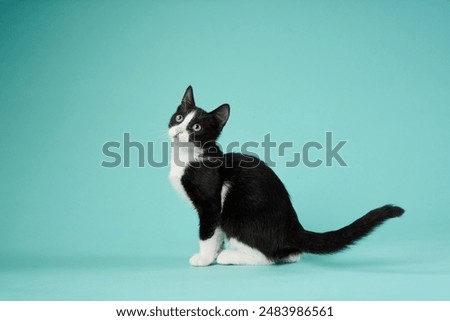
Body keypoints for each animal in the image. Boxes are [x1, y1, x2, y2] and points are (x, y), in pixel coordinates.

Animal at [168, 85, 404, 264]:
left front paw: (205, 259)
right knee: (290, 253)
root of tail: (292, 226)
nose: (177, 132)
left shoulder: (211, 205)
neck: (188, 157)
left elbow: (207, 233)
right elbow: (216, 235)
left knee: (266, 257)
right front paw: (212, 255)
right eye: (179, 117)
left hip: (236, 216)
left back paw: (229, 256)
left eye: (196, 127)